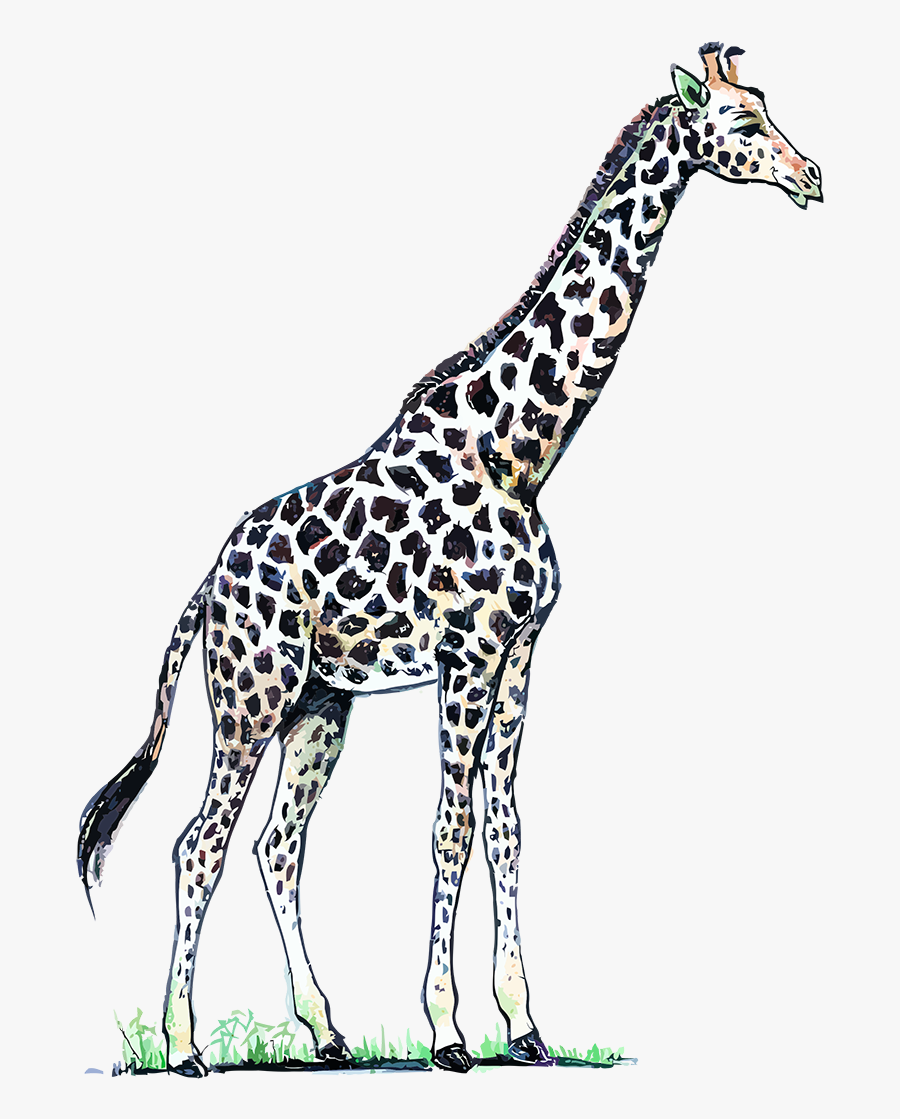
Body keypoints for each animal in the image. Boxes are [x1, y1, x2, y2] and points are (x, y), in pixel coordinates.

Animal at [77, 43, 821, 1075]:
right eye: (745, 123)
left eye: (771, 106)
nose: (813, 177)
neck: (521, 449)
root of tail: (205, 587)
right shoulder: (465, 655)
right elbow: (451, 829)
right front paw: (448, 1030)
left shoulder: (519, 655)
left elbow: (507, 827)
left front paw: (527, 1024)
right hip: (249, 697)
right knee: (201, 842)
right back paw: (183, 1043)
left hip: (320, 705)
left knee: (276, 845)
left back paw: (328, 1031)